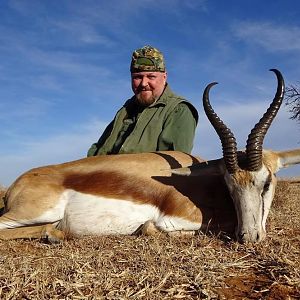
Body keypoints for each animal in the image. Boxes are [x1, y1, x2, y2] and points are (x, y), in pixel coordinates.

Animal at [0, 69, 300, 243]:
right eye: (229, 184)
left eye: (267, 182)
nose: (250, 237)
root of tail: (16, 184)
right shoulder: (172, 221)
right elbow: (150, 227)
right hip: (36, 212)